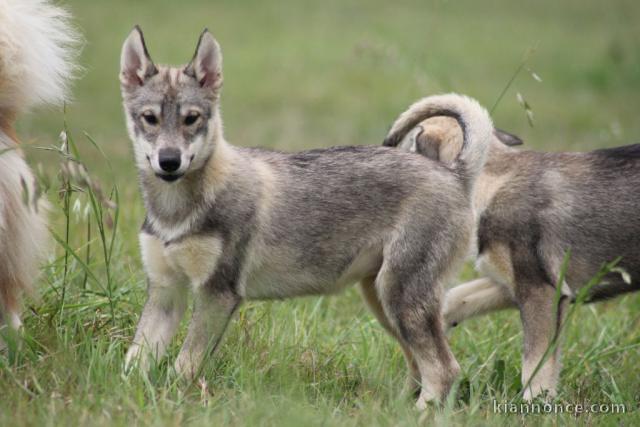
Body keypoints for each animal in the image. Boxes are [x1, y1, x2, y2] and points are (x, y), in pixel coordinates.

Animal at [121, 25, 500, 408]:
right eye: (150, 118)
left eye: (191, 118)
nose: (169, 161)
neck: (176, 210)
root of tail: (454, 173)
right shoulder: (165, 293)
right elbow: (133, 362)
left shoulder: (218, 294)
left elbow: (182, 367)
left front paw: (172, 400)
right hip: (384, 302)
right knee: (419, 366)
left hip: (401, 300)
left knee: (444, 370)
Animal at [384, 114, 640, 402]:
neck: (492, 181)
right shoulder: (510, 284)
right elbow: (455, 300)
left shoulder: (539, 291)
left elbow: (535, 364)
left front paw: (535, 403)